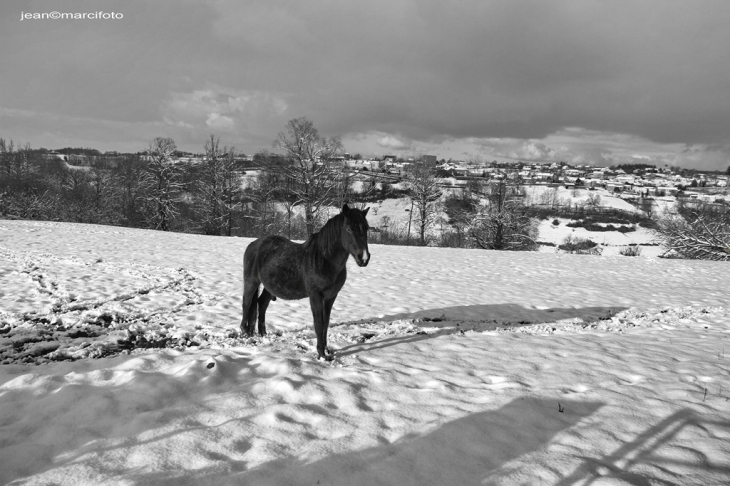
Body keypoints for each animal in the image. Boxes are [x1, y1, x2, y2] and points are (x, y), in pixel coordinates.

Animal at [242, 204, 370, 360]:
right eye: (349, 229)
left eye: (366, 228)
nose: (364, 258)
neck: (324, 259)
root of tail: (254, 244)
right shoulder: (315, 296)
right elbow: (319, 324)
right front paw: (321, 354)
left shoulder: (330, 297)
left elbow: (326, 323)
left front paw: (326, 351)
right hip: (251, 281)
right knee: (247, 303)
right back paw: (244, 332)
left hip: (269, 286)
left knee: (261, 303)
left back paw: (263, 335)